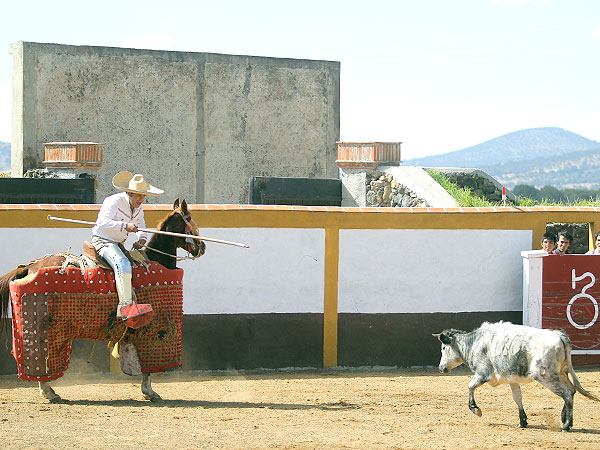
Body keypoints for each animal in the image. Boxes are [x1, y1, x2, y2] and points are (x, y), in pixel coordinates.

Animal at [0, 199, 204, 402]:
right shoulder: (151, 332)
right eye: (189, 218)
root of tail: (30, 267)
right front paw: (149, 391)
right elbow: (147, 367)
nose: (202, 247)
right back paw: (48, 390)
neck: (154, 259)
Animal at [434, 322, 596, 430]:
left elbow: (470, 387)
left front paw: (475, 409)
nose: (441, 368)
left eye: (443, 348)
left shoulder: (483, 374)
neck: (474, 343)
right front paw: (523, 421)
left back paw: (566, 425)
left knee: (567, 393)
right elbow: (517, 397)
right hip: (562, 373)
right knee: (572, 391)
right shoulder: (512, 379)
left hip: (545, 376)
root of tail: (560, 336)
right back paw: (566, 419)